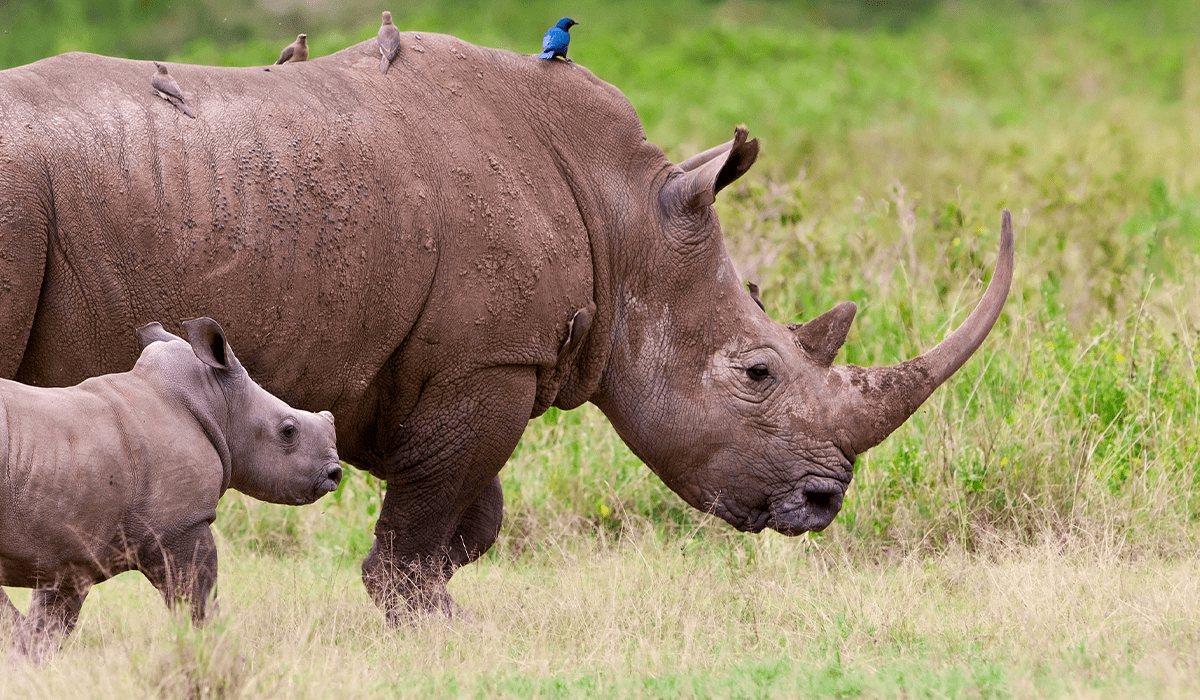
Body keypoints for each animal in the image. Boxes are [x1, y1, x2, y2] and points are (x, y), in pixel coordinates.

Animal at [0, 319, 340, 662]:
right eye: (289, 431)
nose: (334, 473)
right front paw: (222, 659)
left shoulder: (73, 546)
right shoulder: (179, 526)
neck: (217, 404)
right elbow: (198, 602)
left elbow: (50, 622)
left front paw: (26, 665)